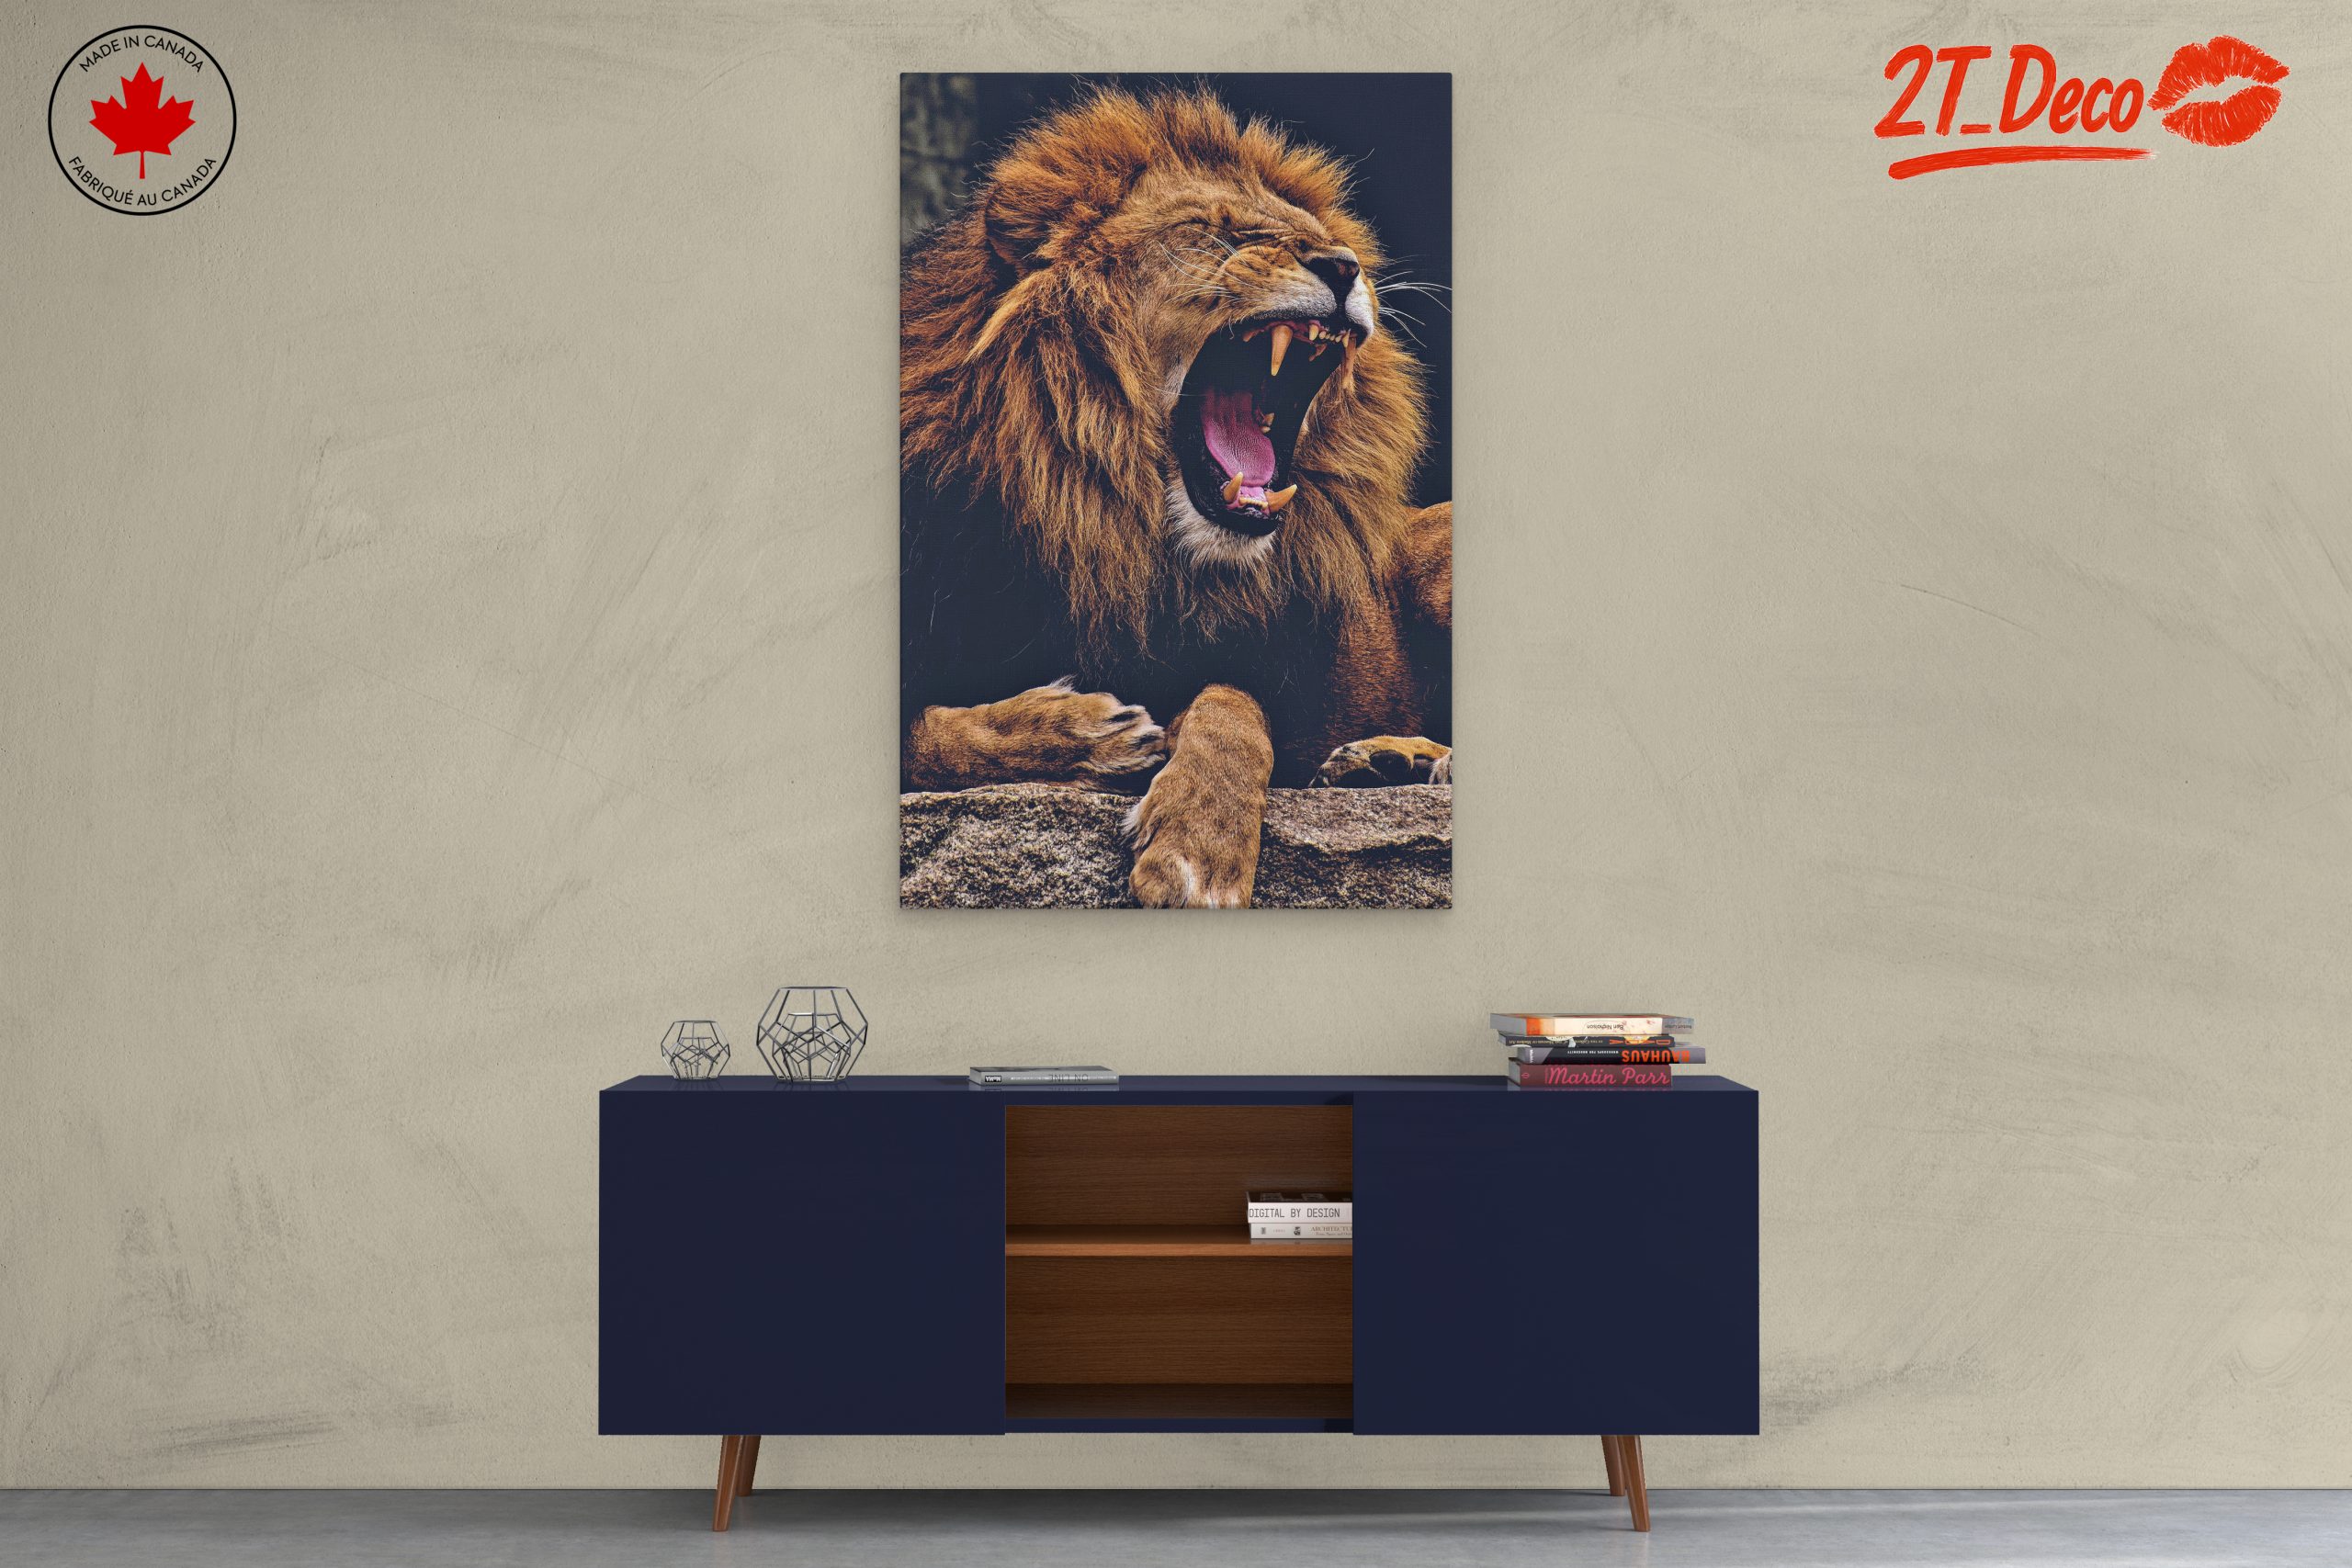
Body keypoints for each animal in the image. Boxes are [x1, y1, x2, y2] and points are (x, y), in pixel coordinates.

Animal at [900, 87, 1451, 908]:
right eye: (1213, 232)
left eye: (1326, 240)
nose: (1345, 266)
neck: (1103, 521)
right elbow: (928, 737)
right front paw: (1086, 733)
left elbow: (1230, 702)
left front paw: (1198, 848)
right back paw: (1377, 763)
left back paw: (1408, 759)